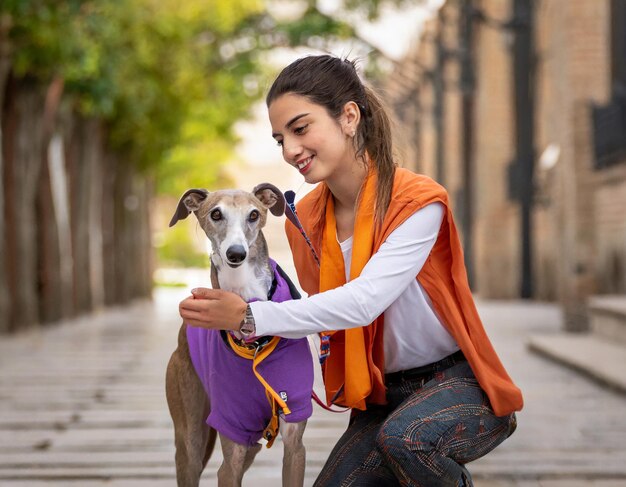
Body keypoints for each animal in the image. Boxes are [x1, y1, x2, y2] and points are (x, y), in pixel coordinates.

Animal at [165, 184, 312, 487]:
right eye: (216, 214)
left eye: (253, 214)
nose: (236, 254)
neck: (254, 344)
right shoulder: (231, 440)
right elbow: (227, 466)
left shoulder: (295, 442)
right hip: (190, 438)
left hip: (251, 444)